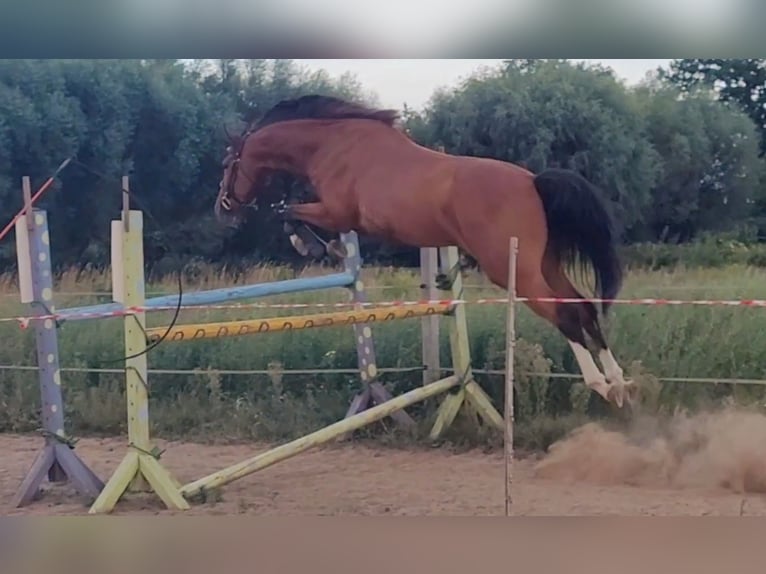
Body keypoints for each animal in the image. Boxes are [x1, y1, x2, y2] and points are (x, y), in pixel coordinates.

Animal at [214, 95, 636, 410]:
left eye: (227, 163)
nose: (223, 209)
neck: (331, 144)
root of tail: (534, 182)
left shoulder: (337, 211)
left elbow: (287, 212)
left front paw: (312, 245)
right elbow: (291, 211)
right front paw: (323, 245)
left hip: (514, 271)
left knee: (564, 313)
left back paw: (600, 383)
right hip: (545, 265)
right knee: (583, 306)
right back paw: (618, 383)